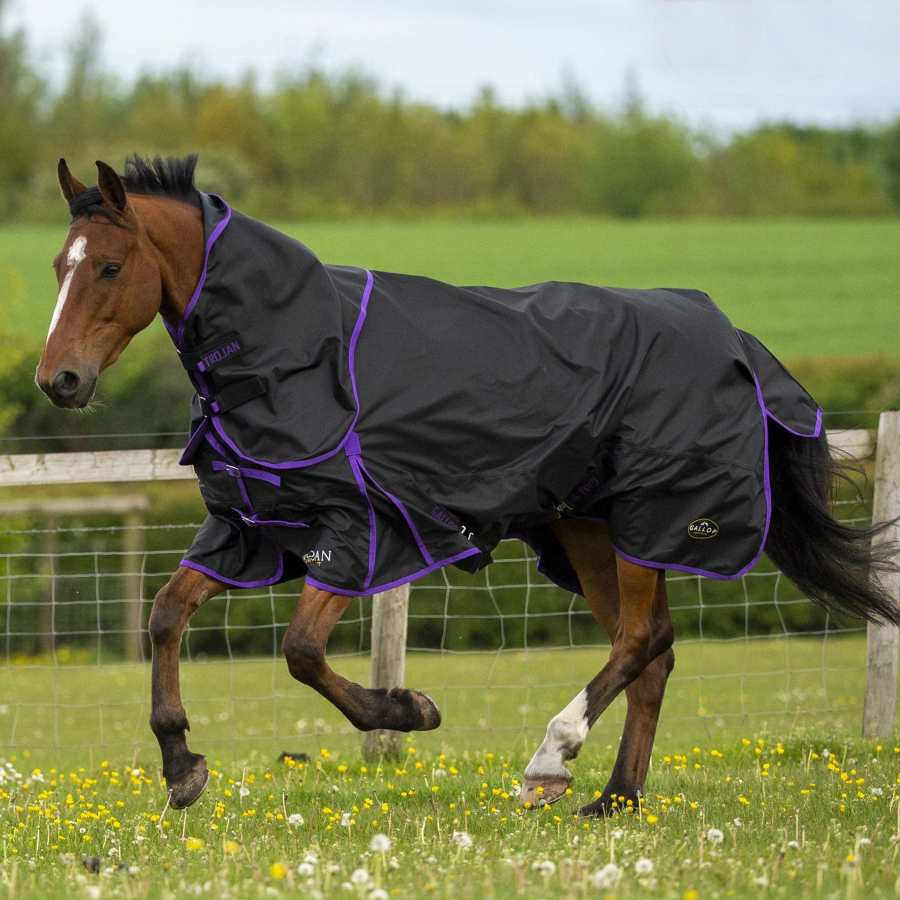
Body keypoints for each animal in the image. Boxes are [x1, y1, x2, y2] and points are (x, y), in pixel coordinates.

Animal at [37, 155, 899, 814]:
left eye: (110, 265)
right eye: (57, 267)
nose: (58, 381)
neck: (295, 351)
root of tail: (733, 336)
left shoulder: (358, 532)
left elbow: (301, 653)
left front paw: (409, 710)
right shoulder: (248, 529)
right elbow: (164, 615)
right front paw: (182, 766)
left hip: (652, 524)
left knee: (639, 640)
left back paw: (551, 760)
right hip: (590, 531)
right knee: (653, 652)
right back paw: (613, 798)